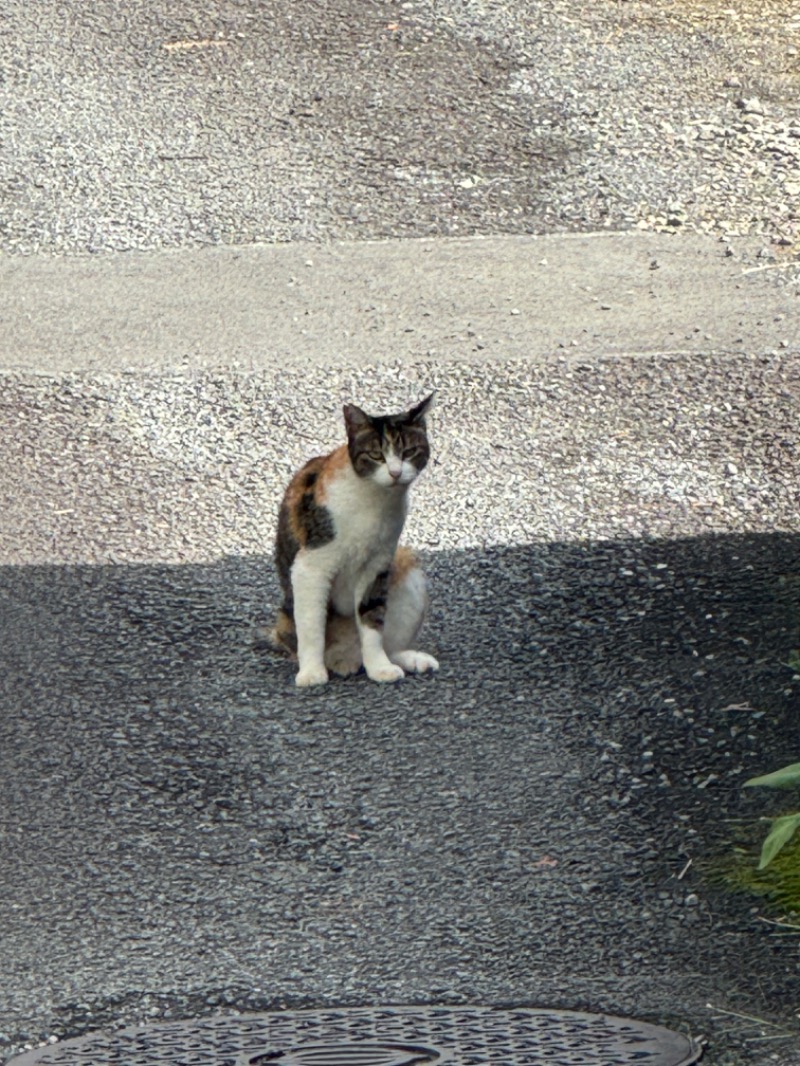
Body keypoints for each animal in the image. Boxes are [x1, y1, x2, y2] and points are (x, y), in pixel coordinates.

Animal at [273, 396, 441, 686]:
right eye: (376, 455)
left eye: (409, 452)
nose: (395, 472)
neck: (375, 499)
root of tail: (349, 655)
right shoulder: (310, 567)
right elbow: (311, 626)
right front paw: (311, 673)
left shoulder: (377, 566)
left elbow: (372, 622)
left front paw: (379, 668)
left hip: (407, 570)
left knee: (388, 644)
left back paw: (409, 660)